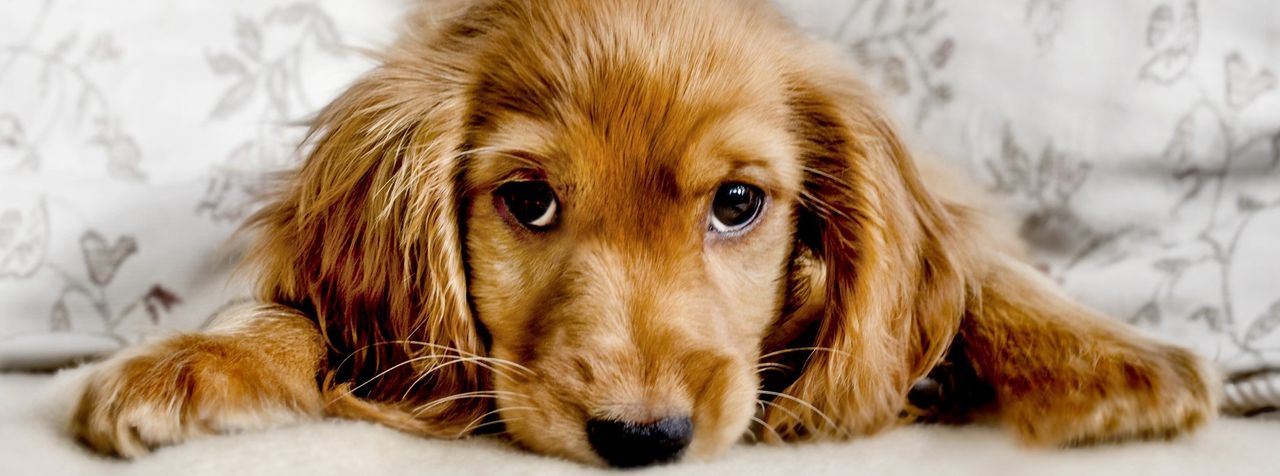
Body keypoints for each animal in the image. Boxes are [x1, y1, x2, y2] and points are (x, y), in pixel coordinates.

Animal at [67, 0, 1208, 468]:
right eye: (528, 201)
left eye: (737, 204)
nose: (642, 438)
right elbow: (289, 313)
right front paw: (191, 361)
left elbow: (982, 267)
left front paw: (1109, 359)